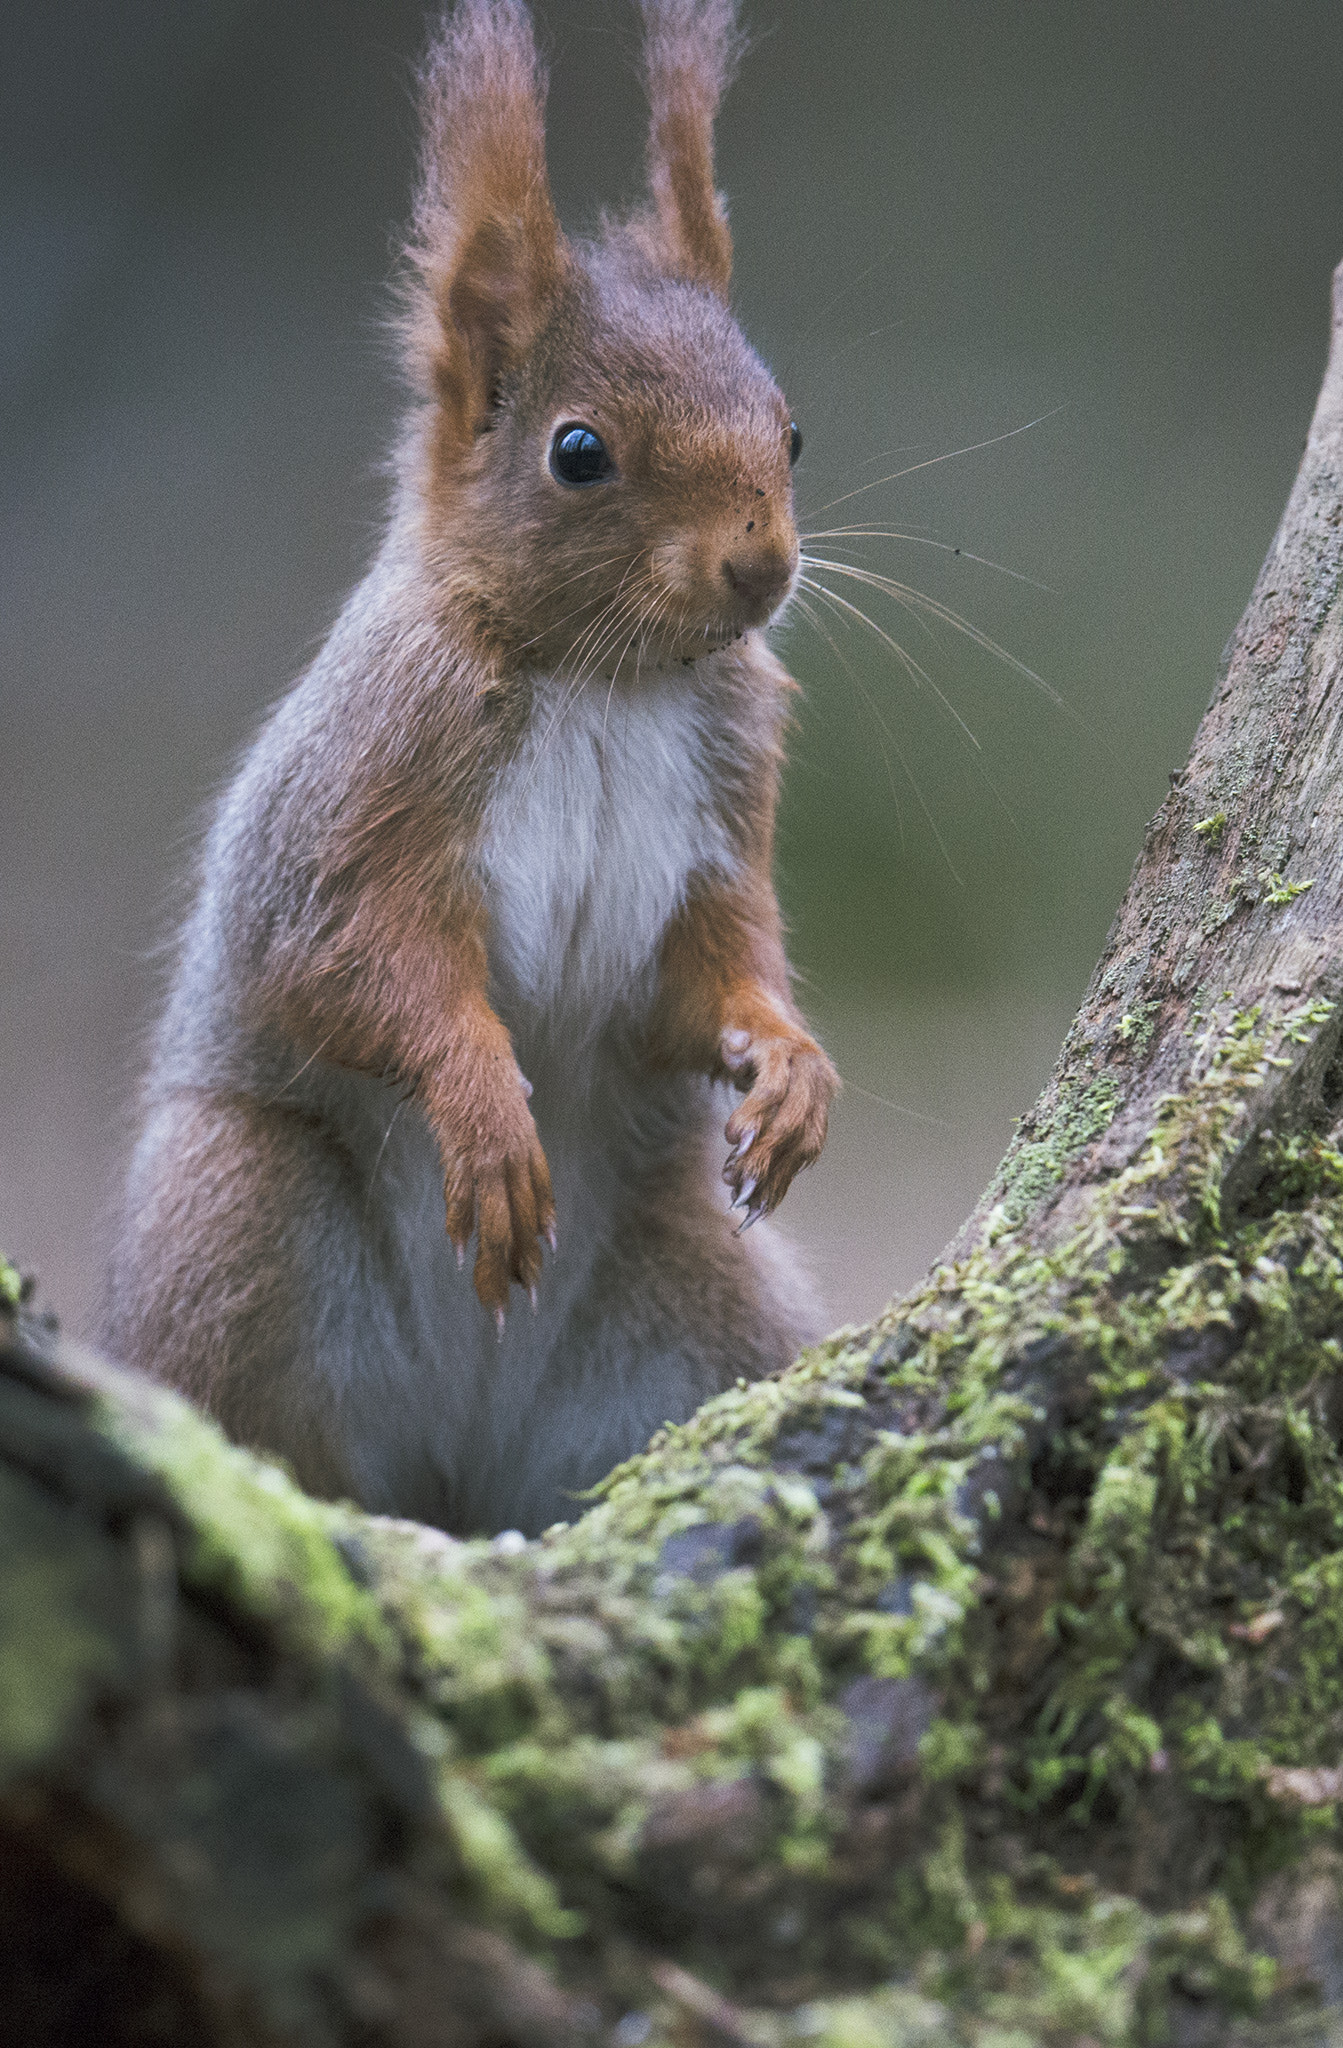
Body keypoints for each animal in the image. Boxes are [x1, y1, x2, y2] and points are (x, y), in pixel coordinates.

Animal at [104, 0, 839, 1540]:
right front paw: (486, 1114)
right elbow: (343, 960)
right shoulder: (363, 788)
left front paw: (791, 1065)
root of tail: (458, 1468)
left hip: (703, 1296)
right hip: (233, 1214)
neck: (603, 682)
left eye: (790, 428)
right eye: (578, 452)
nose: (761, 568)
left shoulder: (721, 813)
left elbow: (717, 964)